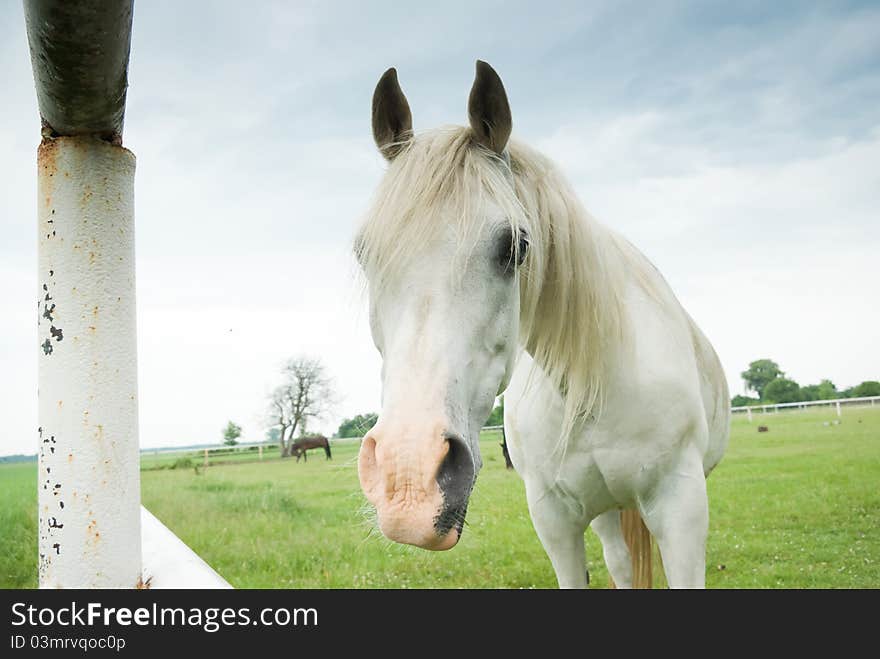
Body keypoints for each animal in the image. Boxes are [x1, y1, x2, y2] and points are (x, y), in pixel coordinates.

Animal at [352, 60, 728, 588]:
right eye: (364, 253)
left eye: (516, 246)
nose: (410, 478)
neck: (592, 390)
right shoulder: (553, 519)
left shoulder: (682, 507)